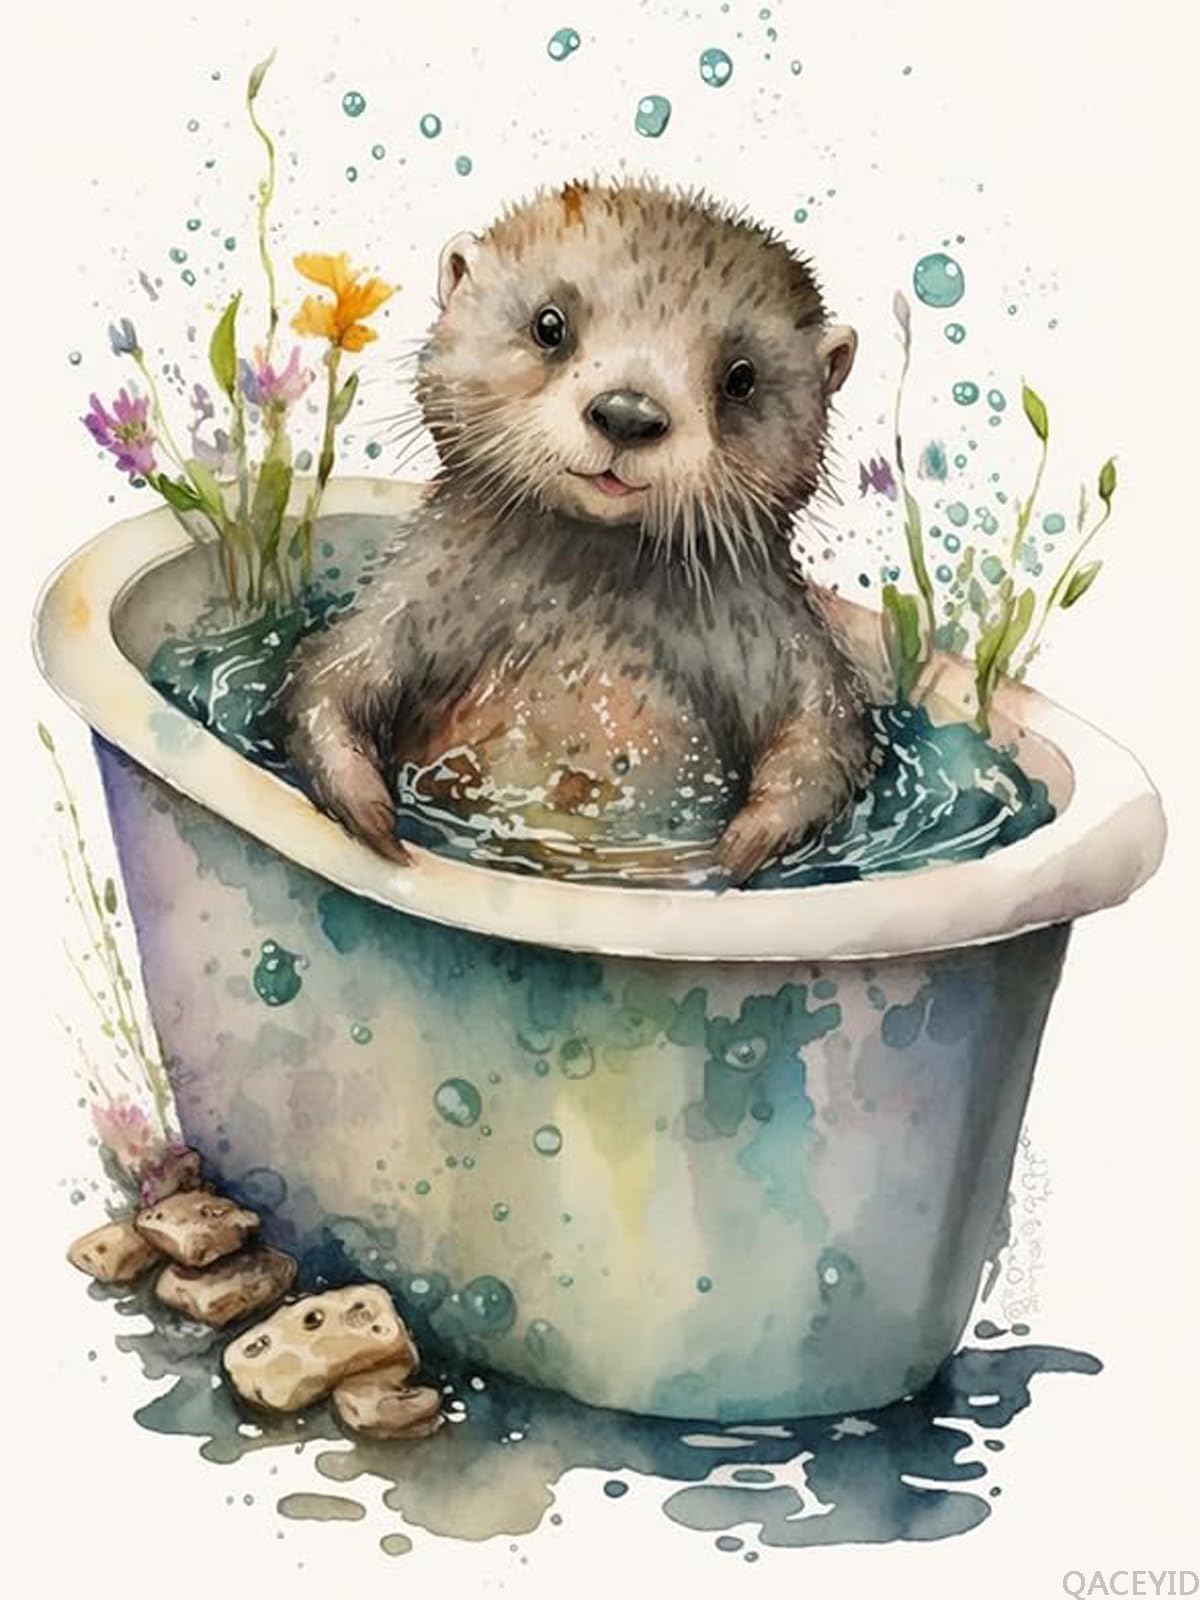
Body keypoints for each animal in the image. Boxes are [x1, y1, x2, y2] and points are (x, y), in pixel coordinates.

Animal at [280, 180, 870, 885]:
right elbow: (332, 675)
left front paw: (742, 848)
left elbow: (823, 731)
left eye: (741, 377)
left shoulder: (773, 633)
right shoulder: (416, 596)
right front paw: (369, 811)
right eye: (549, 325)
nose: (629, 413)